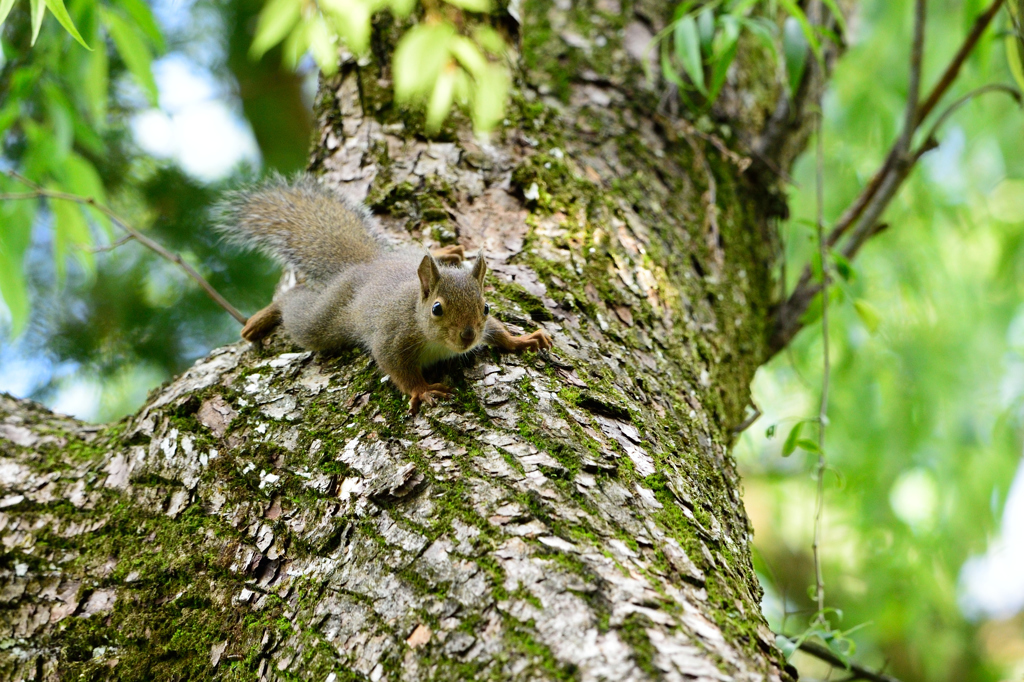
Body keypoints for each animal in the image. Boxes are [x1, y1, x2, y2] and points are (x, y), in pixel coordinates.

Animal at [216, 173, 552, 411]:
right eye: (437, 309)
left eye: (486, 308)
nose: (468, 336)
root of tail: (368, 264)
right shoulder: (392, 338)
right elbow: (395, 367)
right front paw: (422, 390)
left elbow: (498, 331)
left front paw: (522, 340)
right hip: (324, 318)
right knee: (295, 306)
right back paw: (263, 318)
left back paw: (448, 251)